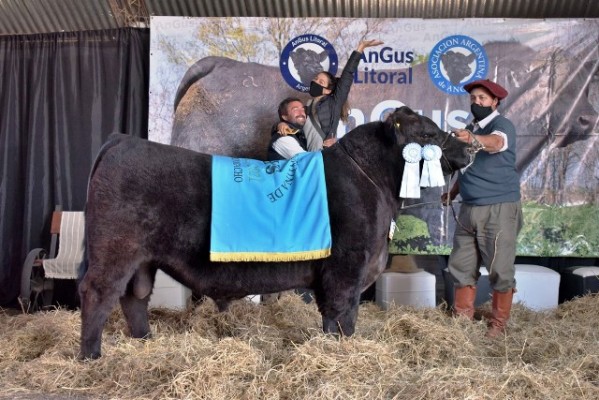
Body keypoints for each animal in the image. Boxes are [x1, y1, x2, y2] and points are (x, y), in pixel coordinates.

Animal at [78, 106, 474, 360]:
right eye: (427, 134)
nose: (469, 147)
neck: (372, 181)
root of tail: (122, 141)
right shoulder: (346, 269)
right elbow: (342, 315)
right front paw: (341, 350)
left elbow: (339, 317)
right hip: (115, 249)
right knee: (99, 293)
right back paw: (91, 356)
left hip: (142, 259)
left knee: (134, 297)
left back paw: (144, 340)